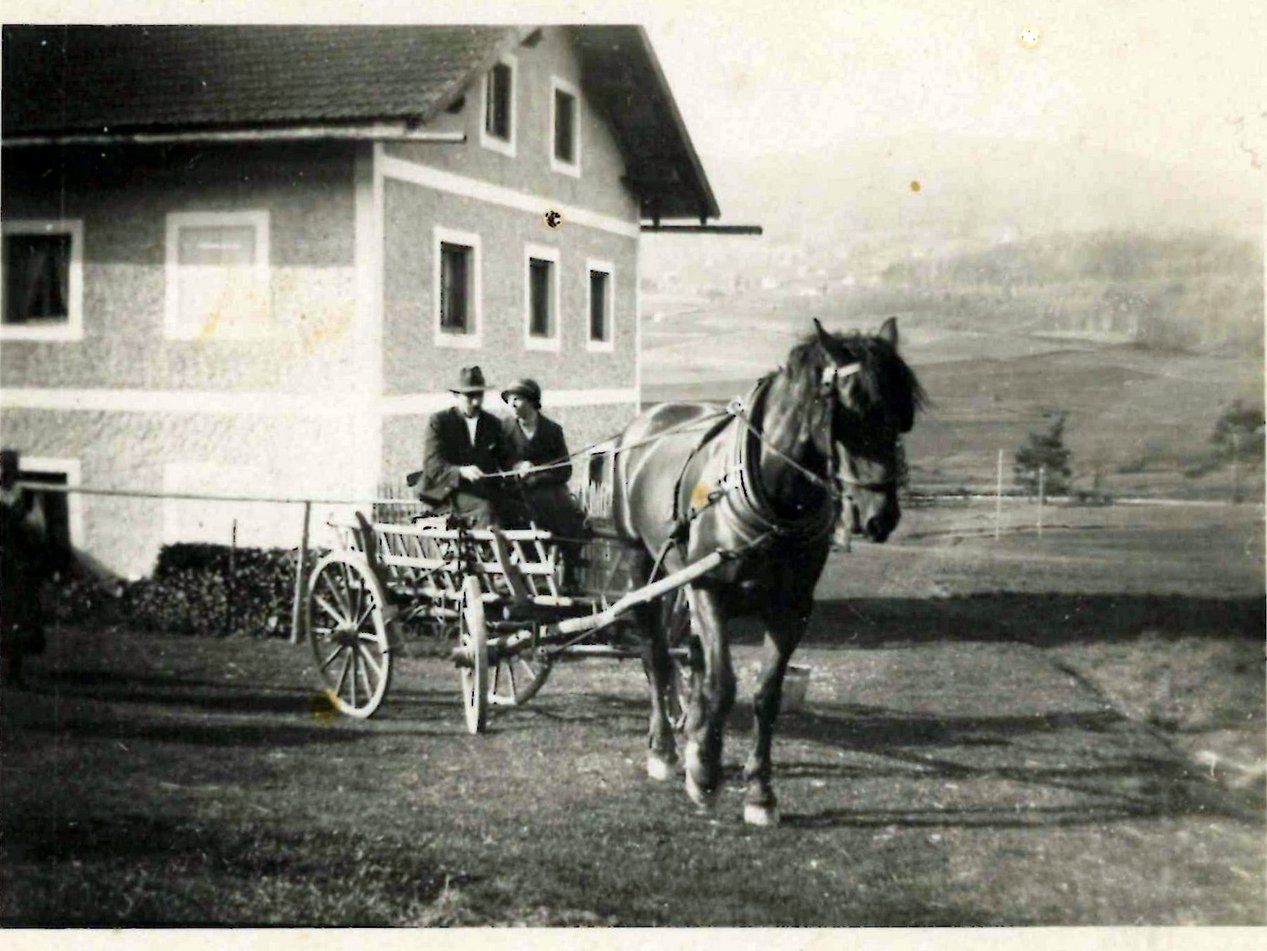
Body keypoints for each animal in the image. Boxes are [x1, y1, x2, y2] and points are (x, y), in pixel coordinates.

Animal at [610, 317, 922, 825]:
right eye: (851, 413)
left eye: (901, 417)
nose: (880, 517)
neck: (774, 497)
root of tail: (645, 422)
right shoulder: (709, 588)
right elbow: (723, 685)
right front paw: (705, 776)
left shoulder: (791, 608)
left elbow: (766, 694)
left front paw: (759, 791)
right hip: (644, 566)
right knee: (656, 656)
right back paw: (665, 750)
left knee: (692, 659)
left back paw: (693, 735)